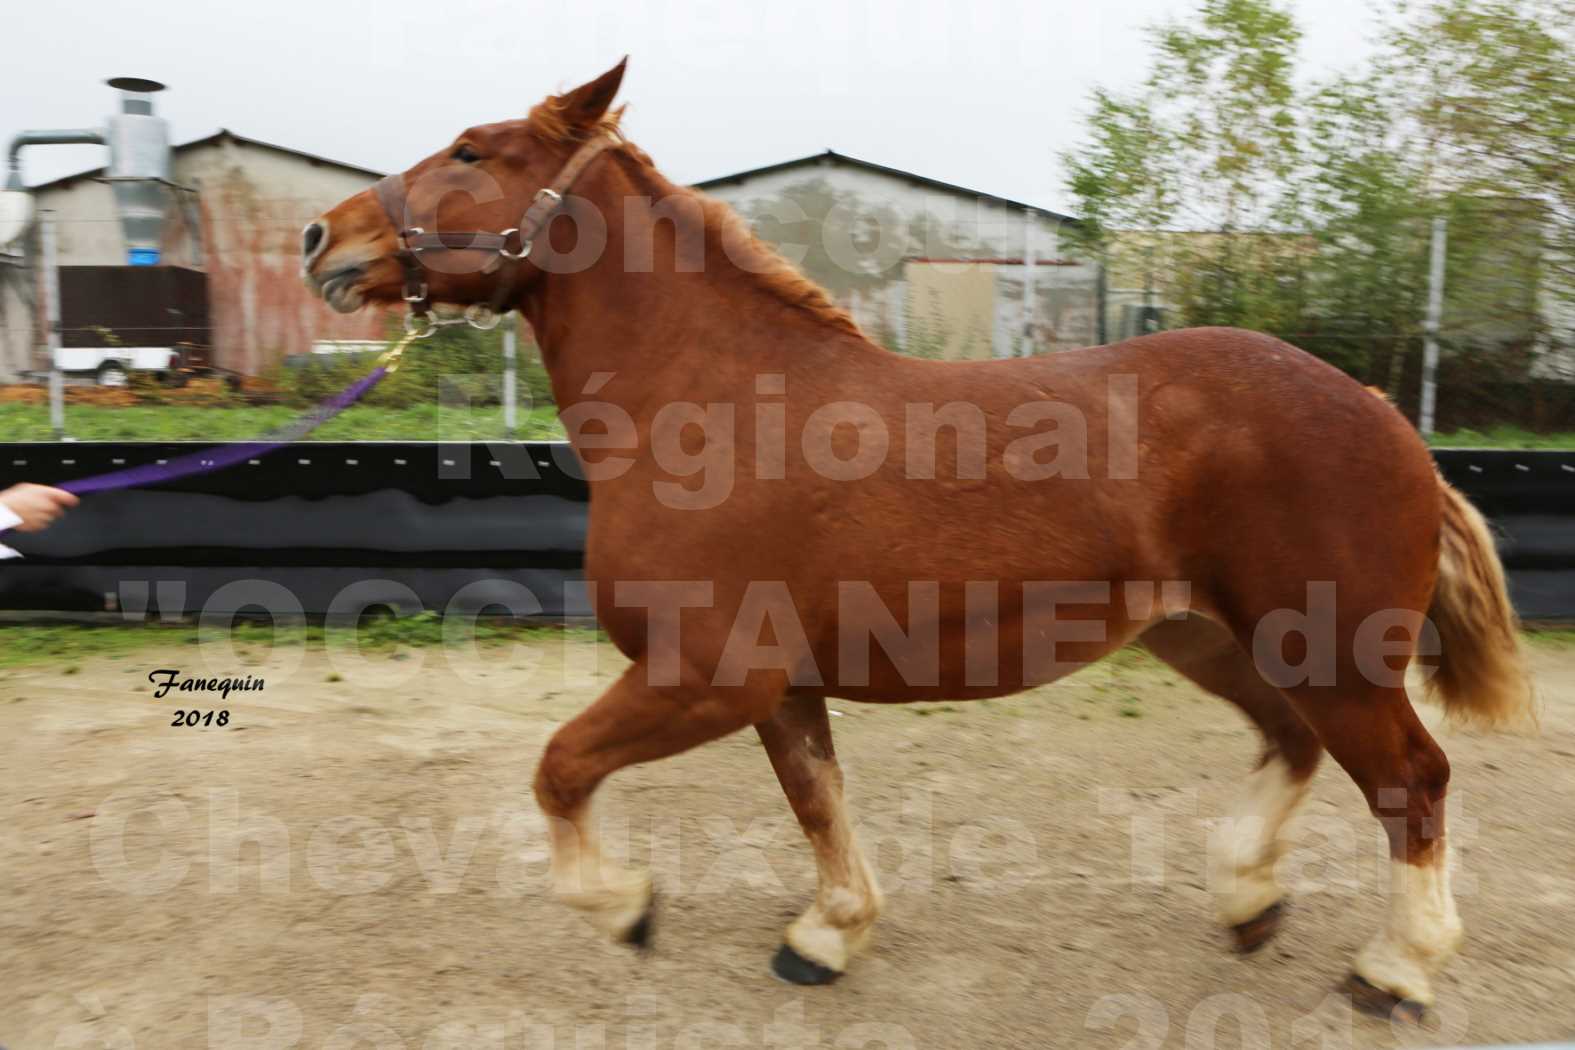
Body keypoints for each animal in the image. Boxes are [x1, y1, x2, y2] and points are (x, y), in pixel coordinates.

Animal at [303, 61, 1524, 1020]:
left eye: (473, 149)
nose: (324, 238)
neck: (708, 410)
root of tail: (1383, 412)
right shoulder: (782, 687)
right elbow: (817, 804)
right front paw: (827, 936)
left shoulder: (706, 678)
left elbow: (560, 769)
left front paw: (628, 910)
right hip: (1210, 637)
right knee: (1293, 744)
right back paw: (1247, 900)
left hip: (1331, 652)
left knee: (1410, 780)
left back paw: (1395, 969)